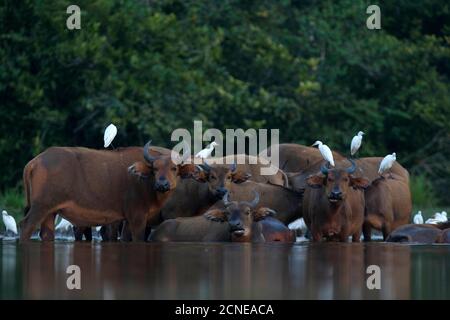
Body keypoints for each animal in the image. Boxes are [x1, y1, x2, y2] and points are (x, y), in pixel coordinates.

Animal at [20, 141, 194, 241]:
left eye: (174, 168)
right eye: (155, 168)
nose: (162, 184)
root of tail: (34, 162)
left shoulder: (126, 219)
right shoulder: (137, 216)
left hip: (50, 211)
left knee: (46, 234)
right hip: (41, 206)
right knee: (26, 225)